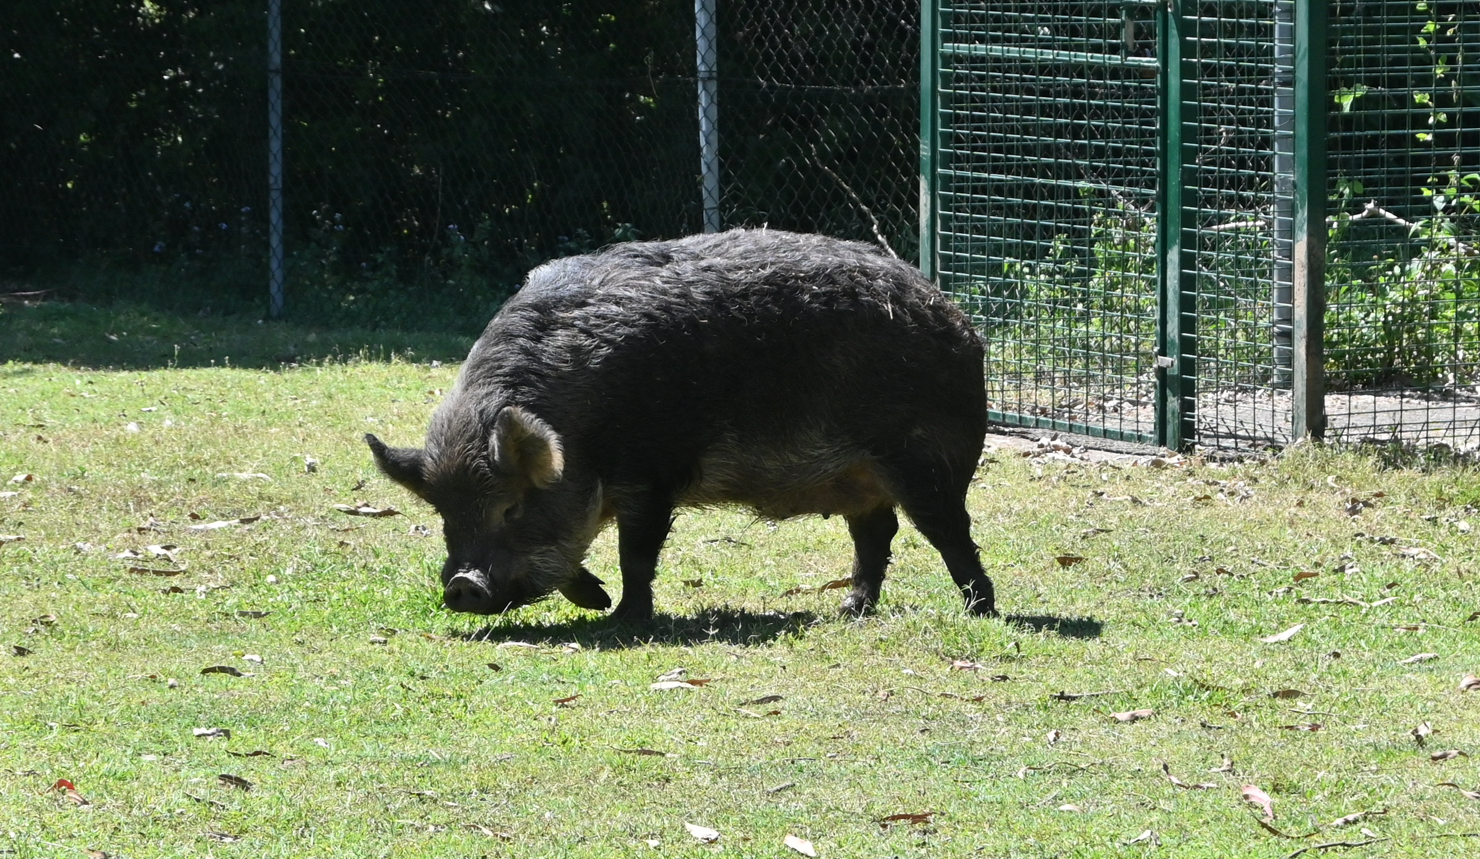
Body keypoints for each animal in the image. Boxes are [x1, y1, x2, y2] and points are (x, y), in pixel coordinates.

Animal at [366, 228, 996, 622]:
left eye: (510, 507)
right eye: (444, 515)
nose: (461, 585)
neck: (580, 423)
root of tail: (954, 317)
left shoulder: (652, 471)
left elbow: (636, 553)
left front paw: (622, 620)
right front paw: (596, 602)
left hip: (924, 457)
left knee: (948, 530)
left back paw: (979, 611)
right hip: (861, 477)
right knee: (876, 532)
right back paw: (849, 610)